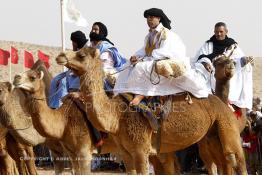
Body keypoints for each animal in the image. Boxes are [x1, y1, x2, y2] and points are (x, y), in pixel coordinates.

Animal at [53, 46, 248, 175]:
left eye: (81, 54)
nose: (60, 56)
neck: (116, 115)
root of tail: (223, 103)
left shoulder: (141, 150)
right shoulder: (126, 153)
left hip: (226, 126)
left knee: (236, 160)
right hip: (211, 136)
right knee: (223, 163)